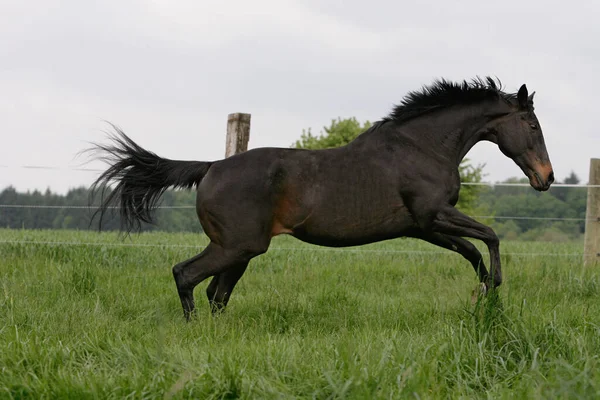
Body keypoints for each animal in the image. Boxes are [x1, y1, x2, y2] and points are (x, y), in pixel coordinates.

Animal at [91, 77, 556, 318]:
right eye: (532, 125)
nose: (546, 178)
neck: (420, 148)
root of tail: (210, 167)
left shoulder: (424, 226)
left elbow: (473, 252)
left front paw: (483, 298)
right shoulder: (433, 215)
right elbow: (491, 236)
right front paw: (493, 292)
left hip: (238, 250)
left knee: (215, 294)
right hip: (238, 246)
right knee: (186, 276)